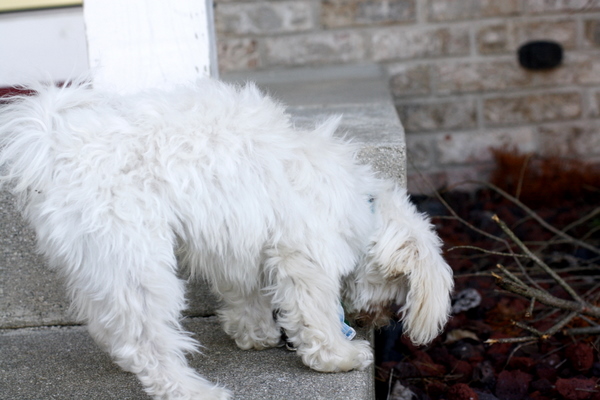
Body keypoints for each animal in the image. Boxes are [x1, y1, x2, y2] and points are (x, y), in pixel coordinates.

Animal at [0, 79, 452, 398]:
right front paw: (338, 357)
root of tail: (54, 143)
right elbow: (316, 315)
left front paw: (255, 335)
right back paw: (189, 389)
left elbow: (244, 294)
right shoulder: (304, 258)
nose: (373, 323)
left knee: (111, 322)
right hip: (137, 259)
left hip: (102, 258)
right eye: (399, 289)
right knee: (146, 340)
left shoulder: (237, 244)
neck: (364, 203)